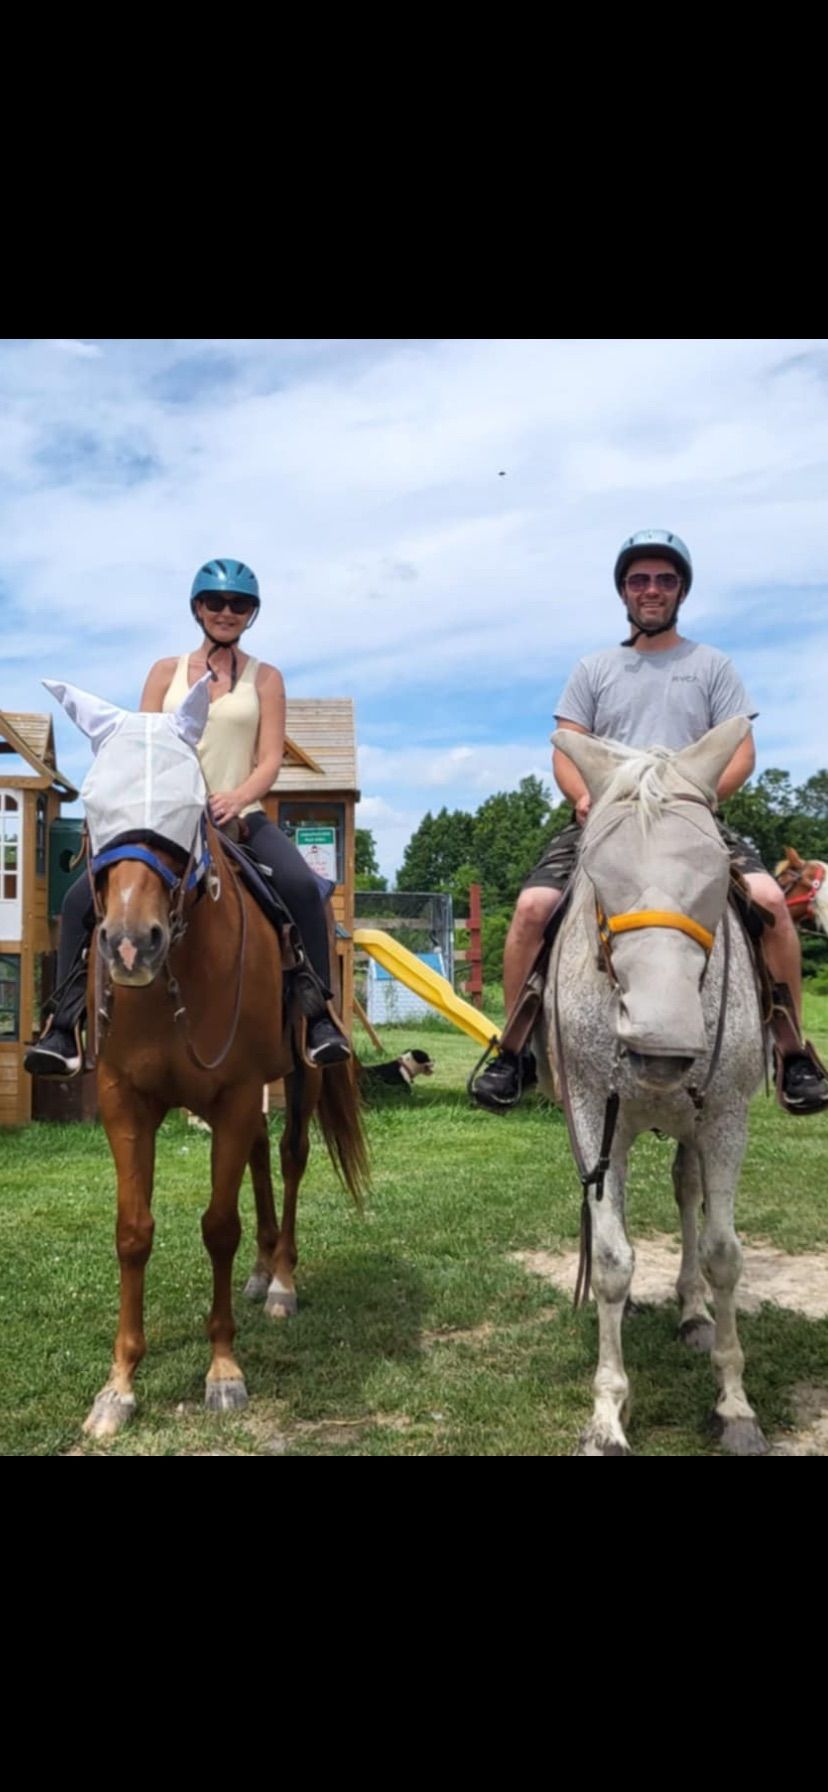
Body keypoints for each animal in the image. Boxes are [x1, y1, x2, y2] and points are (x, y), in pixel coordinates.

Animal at [544, 713, 770, 1455]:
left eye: (716, 874)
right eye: (597, 876)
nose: (662, 1044)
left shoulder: (725, 1118)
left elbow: (724, 1254)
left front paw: (735, 1405)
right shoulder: (593, 1118)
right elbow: (613, 1261)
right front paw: (608, 1417)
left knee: (689, 1197)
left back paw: (694, 1313)